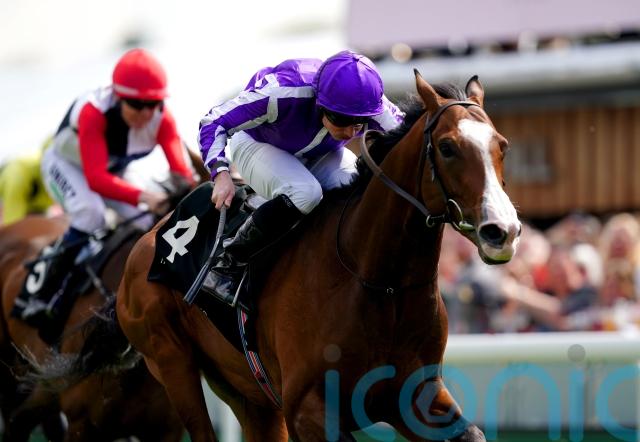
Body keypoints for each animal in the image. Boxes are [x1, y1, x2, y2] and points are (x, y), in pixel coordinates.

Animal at [46, 72, 521, 441]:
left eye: (502, 145)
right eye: (447, 147)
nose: (503, 231)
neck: (378, 281)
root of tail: (147, 242)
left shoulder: (415, 397)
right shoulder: (309, 410)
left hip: (247, 392)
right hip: (170, 363)